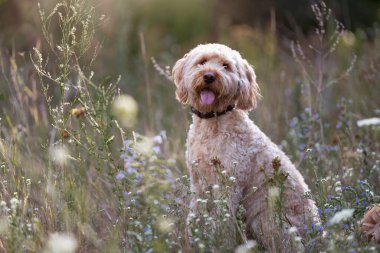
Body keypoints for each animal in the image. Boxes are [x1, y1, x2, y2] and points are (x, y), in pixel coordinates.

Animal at [173, 43, 320, 251]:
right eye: (202, 61)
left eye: (225, 66)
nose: (209, 76)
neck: (213, 123)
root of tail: (319, 234)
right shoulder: (198, 183)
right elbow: (194, 216)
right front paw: (194, 241)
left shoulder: (229, 184)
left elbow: (222, 223)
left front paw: (218, 243)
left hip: (266, 221)